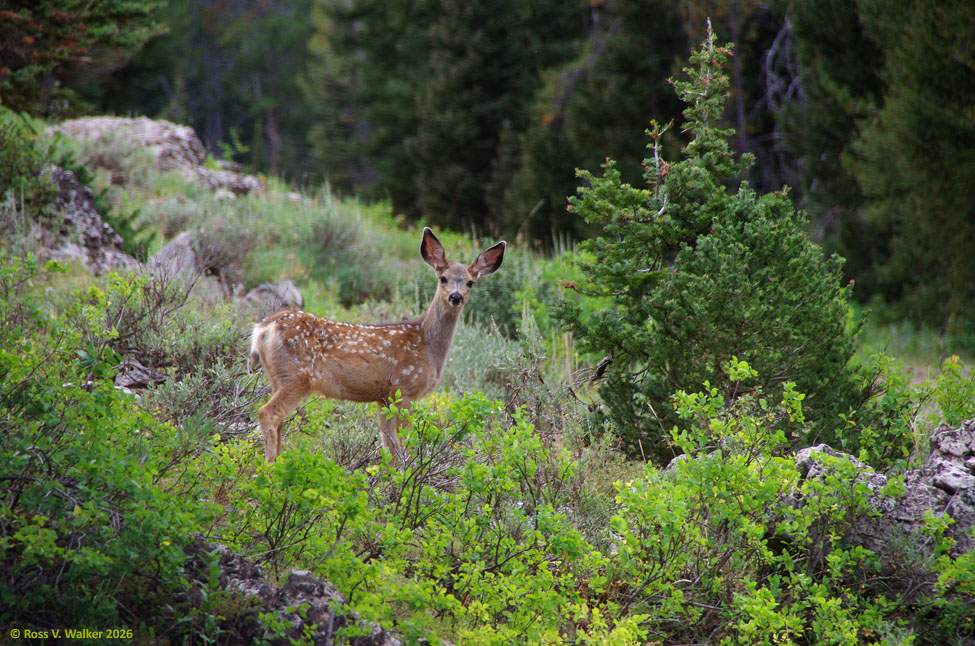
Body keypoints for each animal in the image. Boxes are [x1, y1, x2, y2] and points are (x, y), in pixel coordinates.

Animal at [249, 227, 506, 463]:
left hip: (277, 377)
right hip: (298, 377)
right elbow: (406, 444)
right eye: (443, 279)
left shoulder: (383, 397)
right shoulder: (405, 389)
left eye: (470, 282)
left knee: (277, 420)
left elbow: (389, 447)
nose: (456, 297)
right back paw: (271, 470)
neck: (427, 345)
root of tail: (262, 329)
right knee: (267, 413)